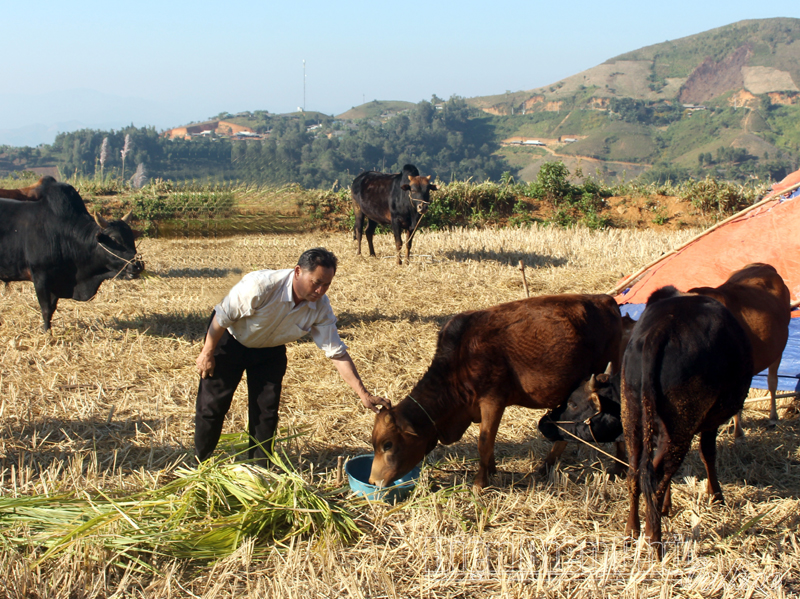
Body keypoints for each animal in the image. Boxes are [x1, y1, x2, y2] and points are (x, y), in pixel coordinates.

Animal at [0, 176, 144, 332]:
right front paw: (46, 332)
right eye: (114, 239)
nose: (137, 265)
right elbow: (46, 309)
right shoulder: (40, 277)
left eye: (132, 239)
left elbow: (52, 309)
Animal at [368, 292, 624, 490]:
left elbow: (484, 442)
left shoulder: (493, 401)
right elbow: (488, 442)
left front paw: (480, 482)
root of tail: (607, 301)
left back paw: (618, 468)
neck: (461, 359)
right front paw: (491, 470)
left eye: (388, 445)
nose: (372, 481)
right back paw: (546, 466)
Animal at [620, 288, 752, 556]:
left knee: (637, 473)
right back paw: (655, 541)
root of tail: (659, 330)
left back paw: (633, 531)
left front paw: (667, 508)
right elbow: (708, 453)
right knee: (658, 474)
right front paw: (717, 497)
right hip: (681, 426)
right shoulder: (710, 422)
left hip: (632, 418)